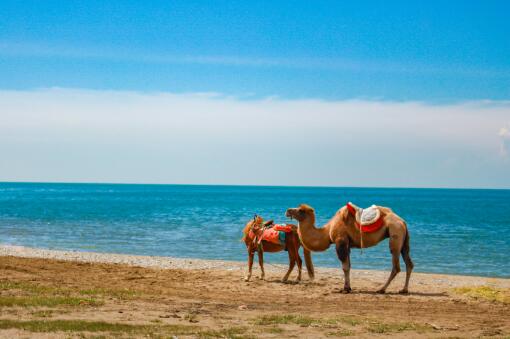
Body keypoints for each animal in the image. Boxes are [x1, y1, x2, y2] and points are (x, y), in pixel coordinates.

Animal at [286, 203, 414, 294]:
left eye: (300, 210)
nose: (288, 210)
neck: (327, 231)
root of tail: (403, 222)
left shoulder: (340, 242)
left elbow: (345, 267)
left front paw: (345, 289)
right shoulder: (346, 245)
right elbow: (348, 266)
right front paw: (348, 287)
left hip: (395, 233)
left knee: (396, 265)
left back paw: (381, 289)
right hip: (403, 238)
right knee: (409, 262)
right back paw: (404, 290)